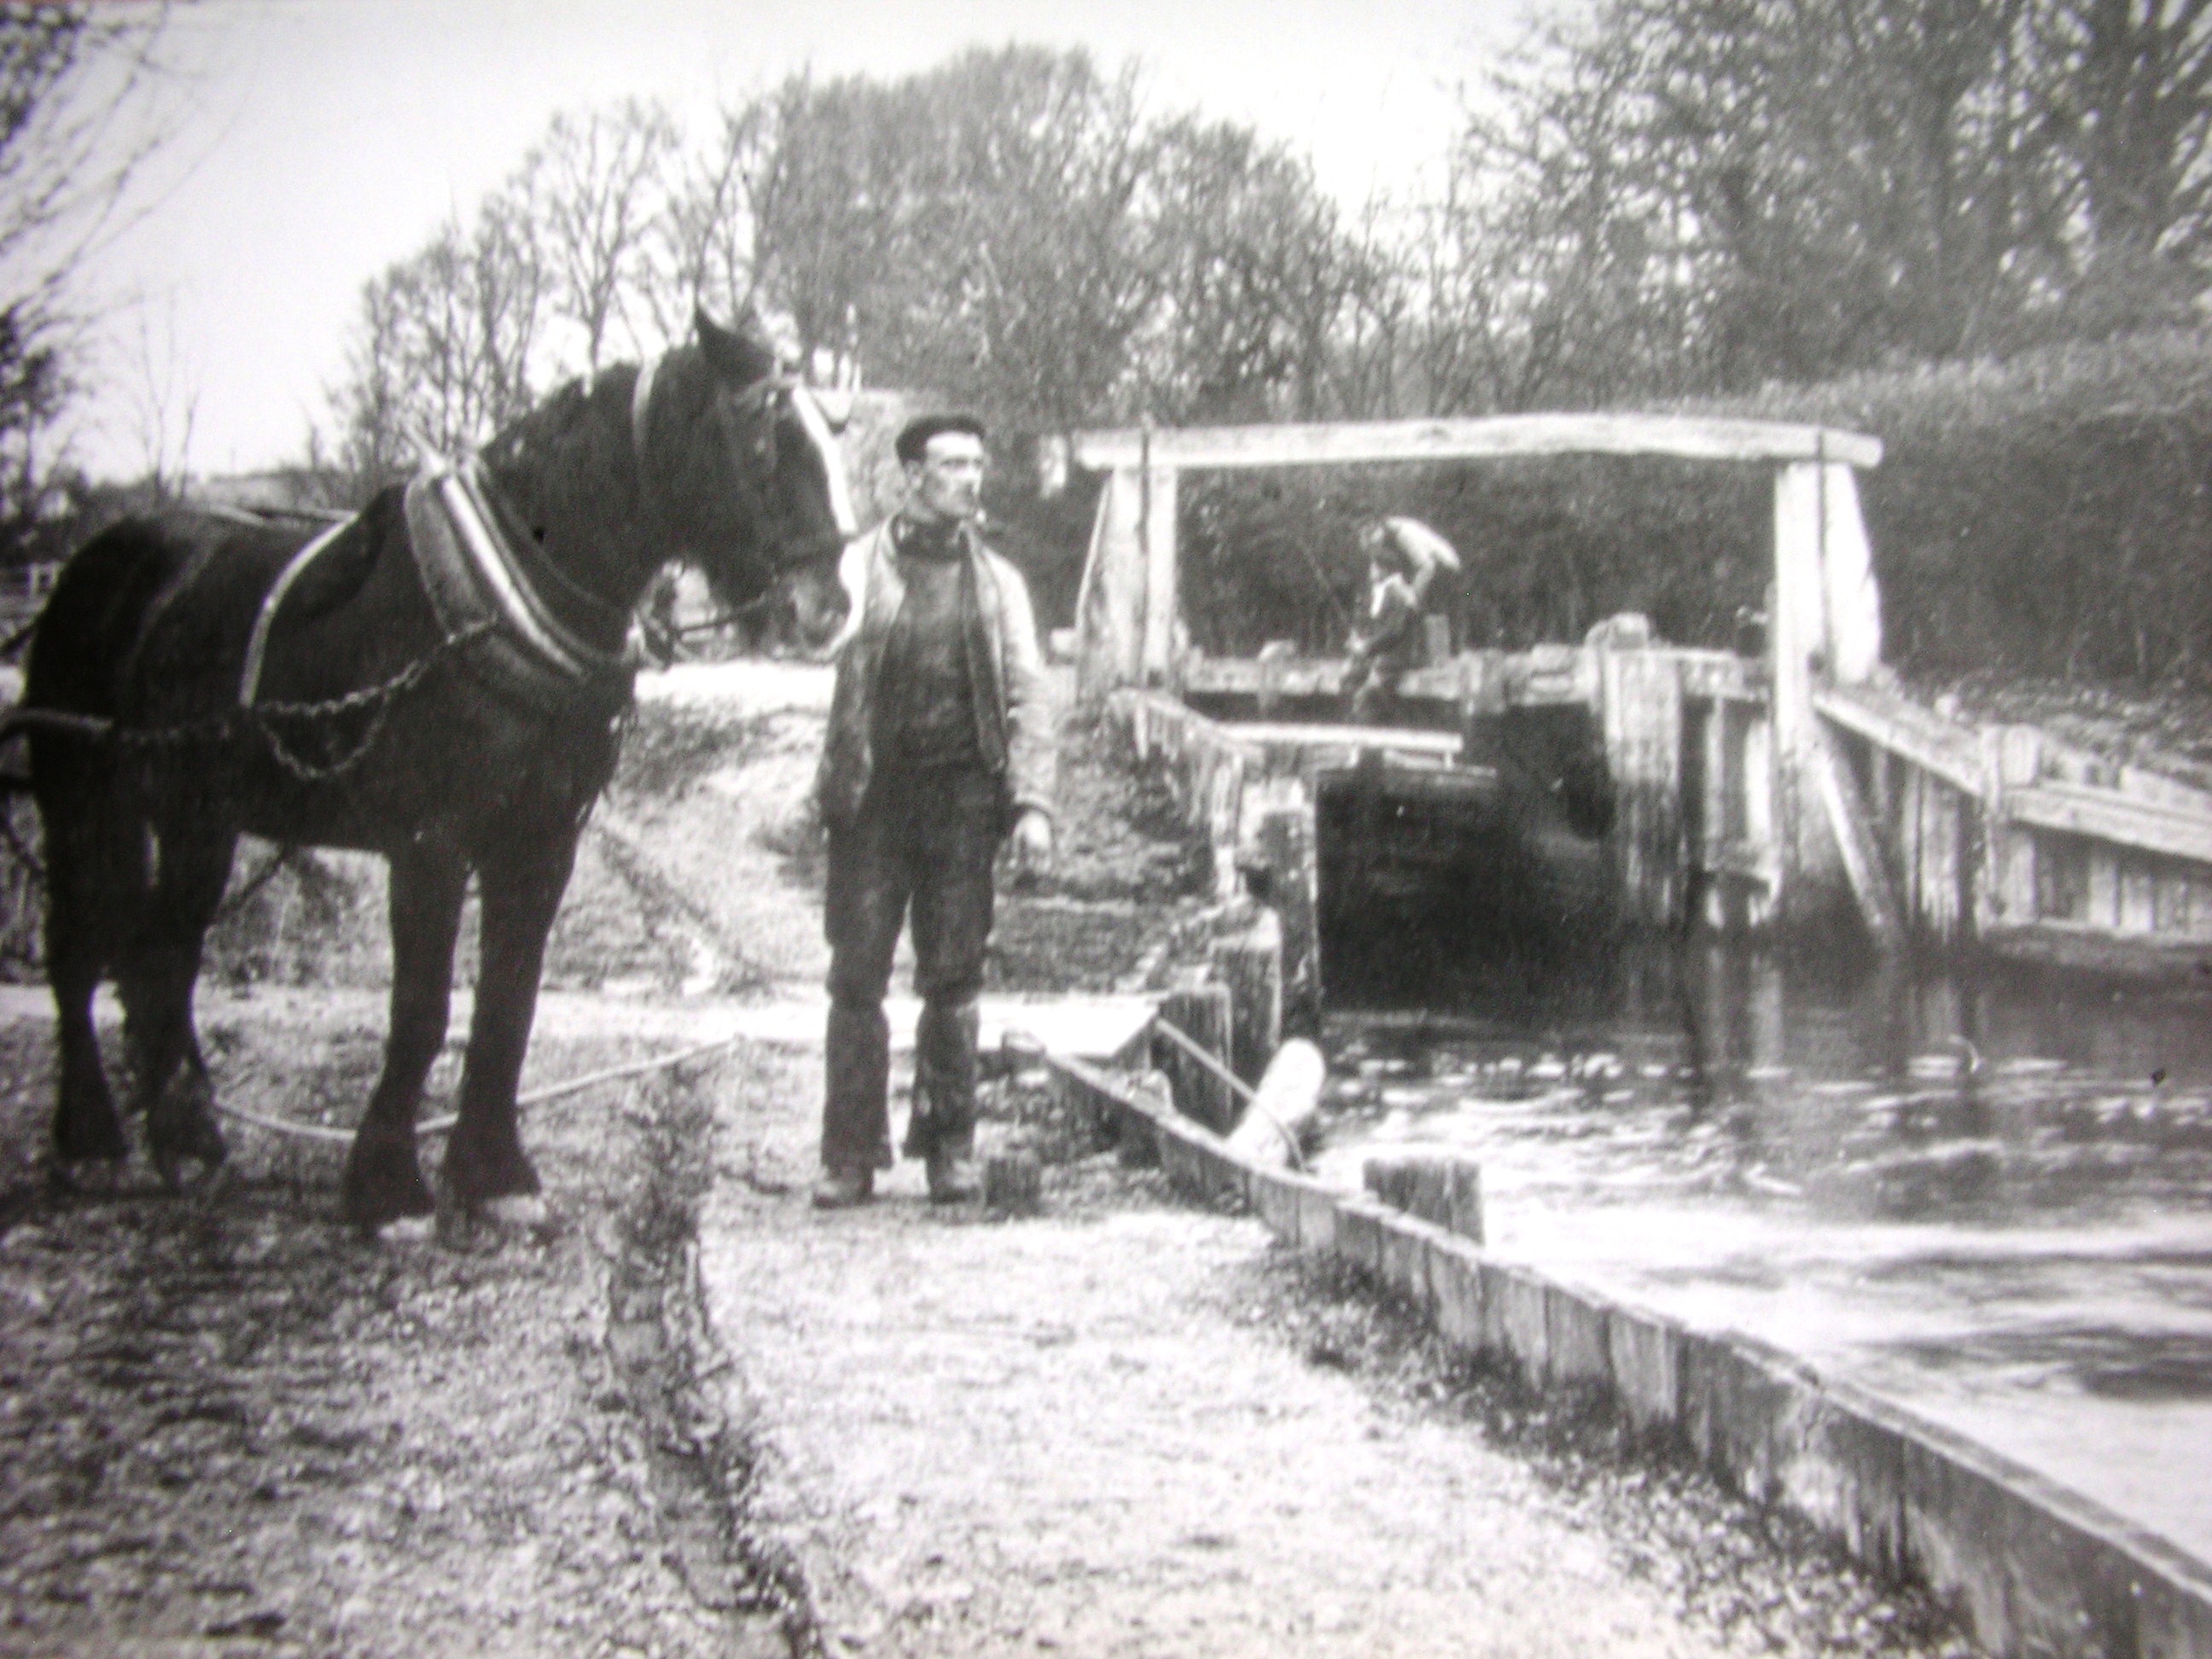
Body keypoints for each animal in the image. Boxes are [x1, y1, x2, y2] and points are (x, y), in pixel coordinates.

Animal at [17, 311, 845, 1238]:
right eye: (765, 441)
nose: (832, 607)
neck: (503, 599)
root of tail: (97, 561)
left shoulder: (542, 843)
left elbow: (509, 1002)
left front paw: (495, 1174)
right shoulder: (431, 844)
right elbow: (423, 1008)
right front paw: (389, 1186)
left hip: (199, 817)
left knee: (165, 952)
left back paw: (186, 1138)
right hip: (84, 799)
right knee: (79, 949)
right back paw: (92, 1139)